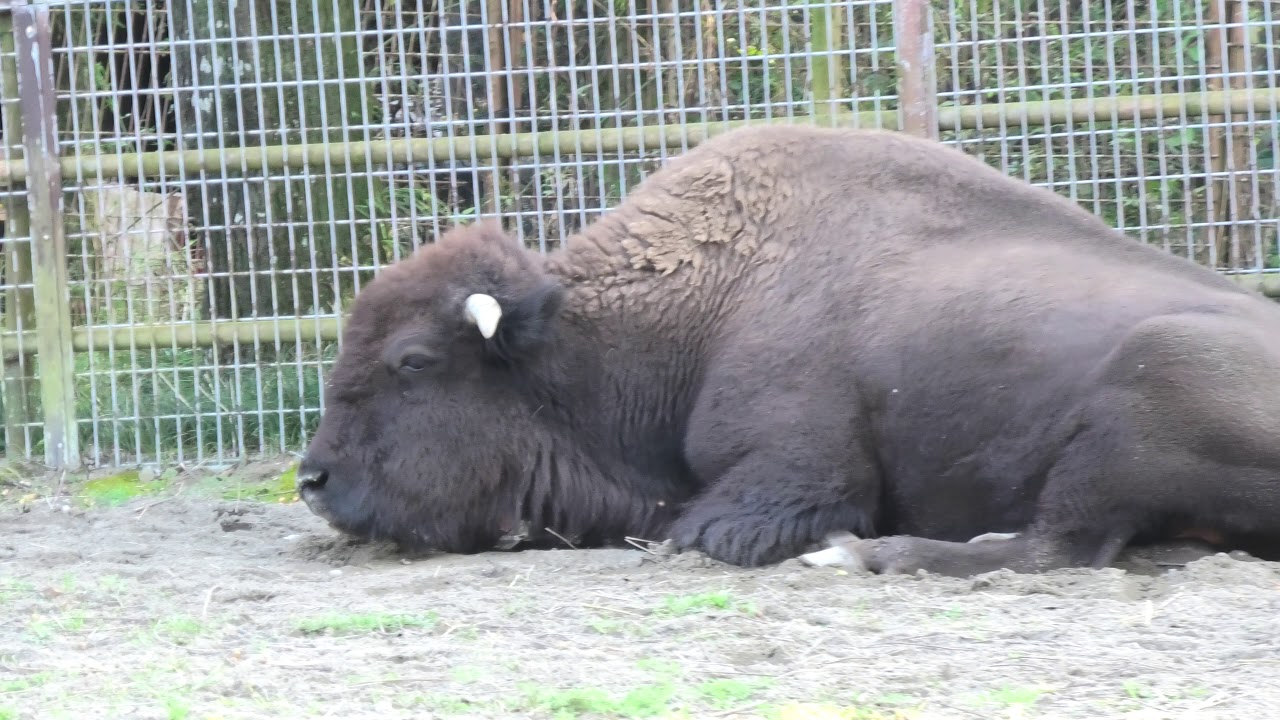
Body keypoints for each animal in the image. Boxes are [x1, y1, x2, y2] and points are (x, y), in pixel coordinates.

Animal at [296, 124, 1280, 577]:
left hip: (1150, 382)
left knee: (1055, 545)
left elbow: (702, 530)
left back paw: (864, 555)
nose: (312, 480)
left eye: (413, 362)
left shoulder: (795, 472)